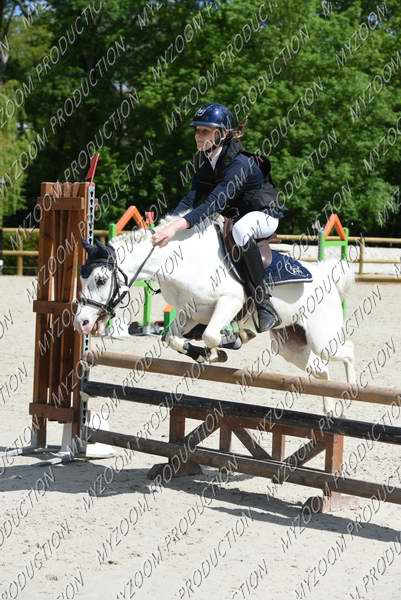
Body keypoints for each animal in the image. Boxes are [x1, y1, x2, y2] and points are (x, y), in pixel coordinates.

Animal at [73, 214, 356, 414]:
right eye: (83, 279)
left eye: (100, 280)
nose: (82, 323)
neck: (183, 261)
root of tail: (326, 274)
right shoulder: (190, 313)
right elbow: (171, 338)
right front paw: (207, 354)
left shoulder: (230, 301)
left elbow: (211, 334)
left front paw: (232, 341)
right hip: (291, 345)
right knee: (322, 372)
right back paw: (331, 409)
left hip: (321, 338)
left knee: (347, 352)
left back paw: (350, 392)